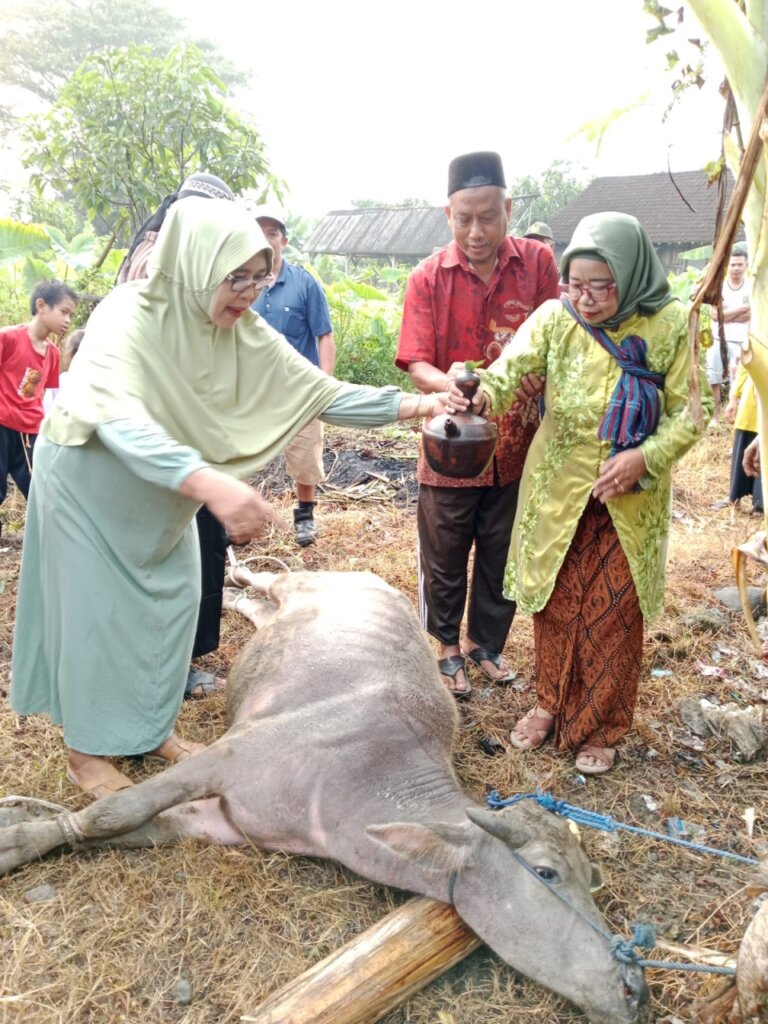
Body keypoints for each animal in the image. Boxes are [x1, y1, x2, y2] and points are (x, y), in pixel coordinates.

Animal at [0, 573, 651, 1019]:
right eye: (545, 873)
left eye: (589, 879)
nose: (635, 988)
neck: (356, 782)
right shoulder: (224, 757)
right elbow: (111, 812)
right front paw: (20, 837)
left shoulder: (223, 821)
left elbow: (127, 827)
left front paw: (32, 830)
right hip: (299, 582)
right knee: (267, 577)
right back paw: (236, 570)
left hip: (279, 615)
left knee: (256, 607)